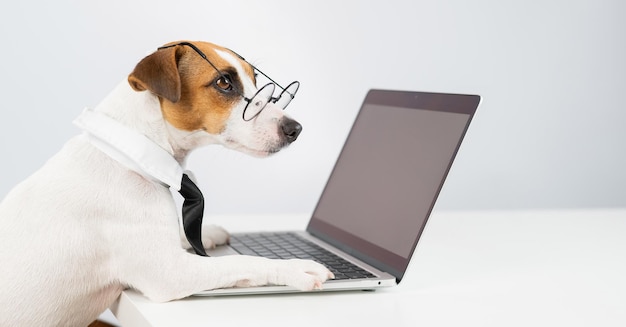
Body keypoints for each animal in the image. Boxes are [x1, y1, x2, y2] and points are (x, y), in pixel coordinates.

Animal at [0, 41, 332, 327]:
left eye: (256, 80)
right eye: (224, 82)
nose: (295, 128)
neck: (129, 156)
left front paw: (208, 232)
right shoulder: (172, 272)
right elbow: (242, 262)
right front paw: (294, 267)